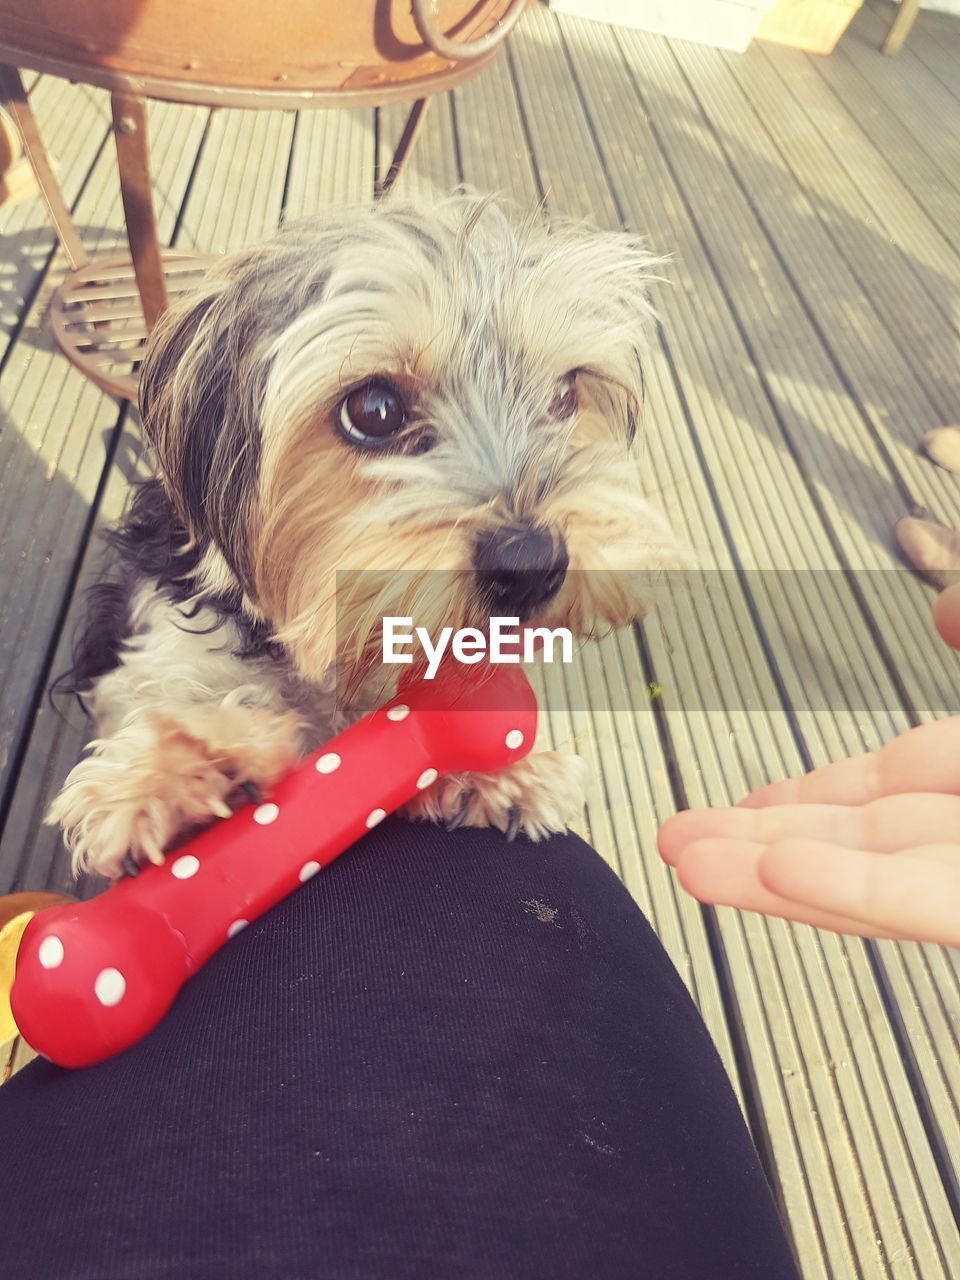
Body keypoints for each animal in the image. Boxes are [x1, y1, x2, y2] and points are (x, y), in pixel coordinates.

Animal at [48, 194, 686, 885]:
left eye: (567, 393)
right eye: (374, 411)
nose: (532, 566)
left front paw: (503, 769)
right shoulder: (162, 638)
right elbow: (158, 691)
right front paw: (178, 769)